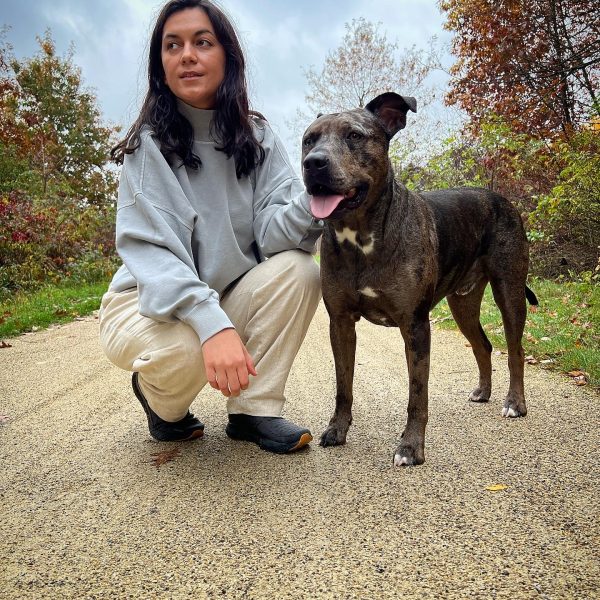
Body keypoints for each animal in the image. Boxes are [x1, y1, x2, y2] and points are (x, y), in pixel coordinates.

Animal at [302, 92, 536, 464]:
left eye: (354, 135)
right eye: (308, 140)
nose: (313, 163)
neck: (362, 236)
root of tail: (502, 199)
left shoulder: (414, 325)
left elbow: (417, 394)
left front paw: (410, 447)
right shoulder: (340, 322)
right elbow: (343, 385)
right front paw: (337, 429)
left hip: (509, 292)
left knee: (514, 349)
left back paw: (515, 403)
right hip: (463, 304)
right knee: (483, 345)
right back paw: (483, 391)